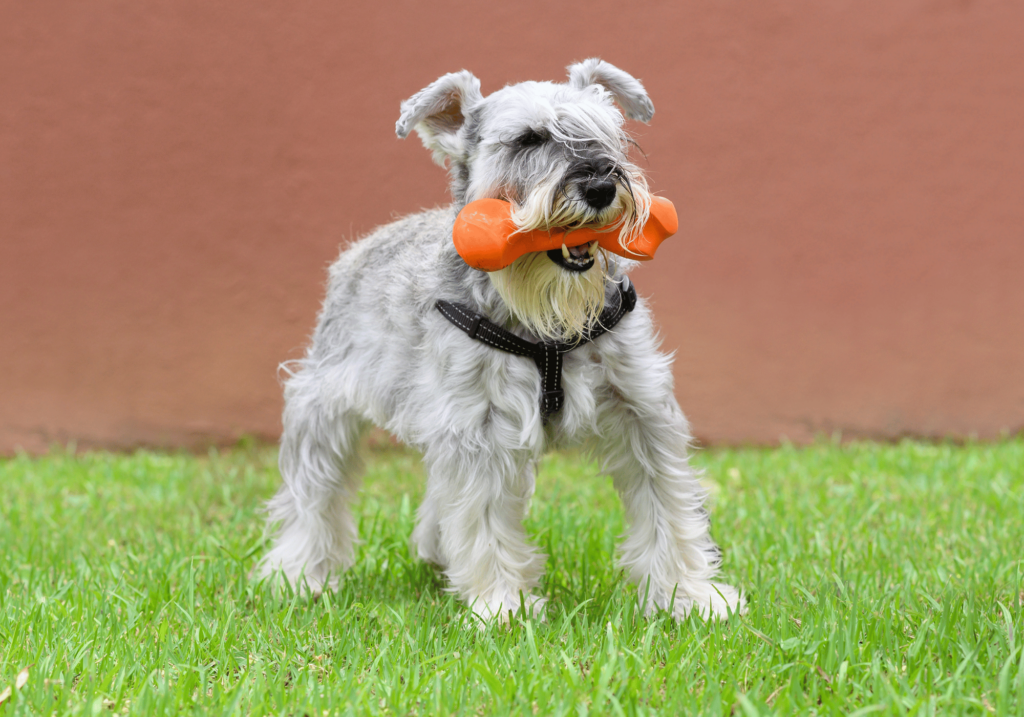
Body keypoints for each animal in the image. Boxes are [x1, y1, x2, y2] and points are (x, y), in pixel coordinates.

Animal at [254, 60, 737, 622]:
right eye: (528, 139)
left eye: (607, 135)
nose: (600, 183)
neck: (547, 322)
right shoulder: (477, 429)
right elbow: (482, 515)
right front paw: (504, 604)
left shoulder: (643, 409)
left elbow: (670, 505)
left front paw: (691, 595)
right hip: (325, 406)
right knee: (313, 495)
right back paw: (298, 574)